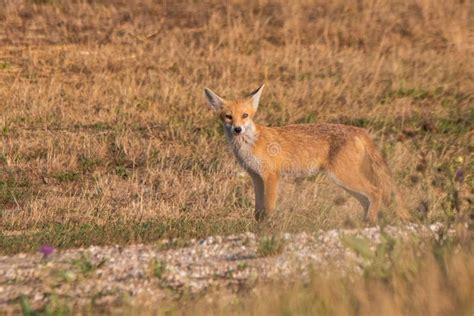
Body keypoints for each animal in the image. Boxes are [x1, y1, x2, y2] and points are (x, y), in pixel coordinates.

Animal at [204, 84, 412, 225]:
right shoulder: (256, 177)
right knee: (368, 199)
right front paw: (258, 228)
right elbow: (258, 211)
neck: (249, 145)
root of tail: (359, 130)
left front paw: (268, 229)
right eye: (228, 117)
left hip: (343, 177)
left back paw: (370, 222)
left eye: (245, 115)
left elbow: (269, 208)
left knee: (376, 192)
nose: (237, 129)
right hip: (345, 182)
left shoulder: (271, 176)